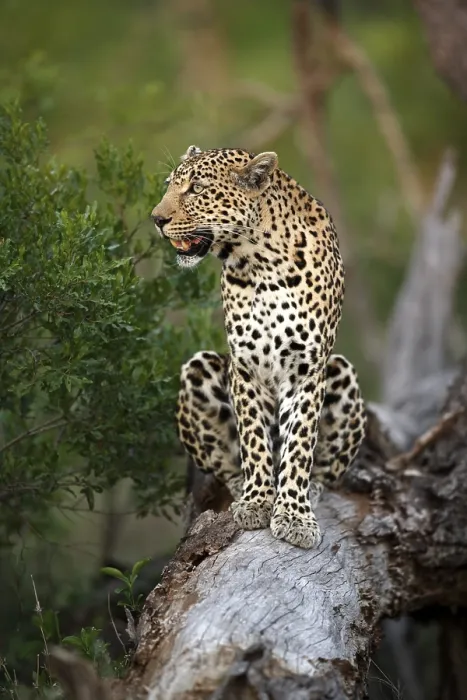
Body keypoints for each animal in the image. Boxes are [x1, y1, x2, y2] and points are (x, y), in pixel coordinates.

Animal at [151, 145, 367, 549]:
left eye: (197, 188)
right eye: (170, 185)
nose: (156, 219)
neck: (261, 262)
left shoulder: (307, 369)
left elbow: (299, 444)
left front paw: (295, 515)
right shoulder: (245, 367)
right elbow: (253, 439)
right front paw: (256, 501)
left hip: (342, 373)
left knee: (325, 472)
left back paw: (311, 491)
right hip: (199, 368)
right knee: (225, 466)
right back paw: (241, 491)